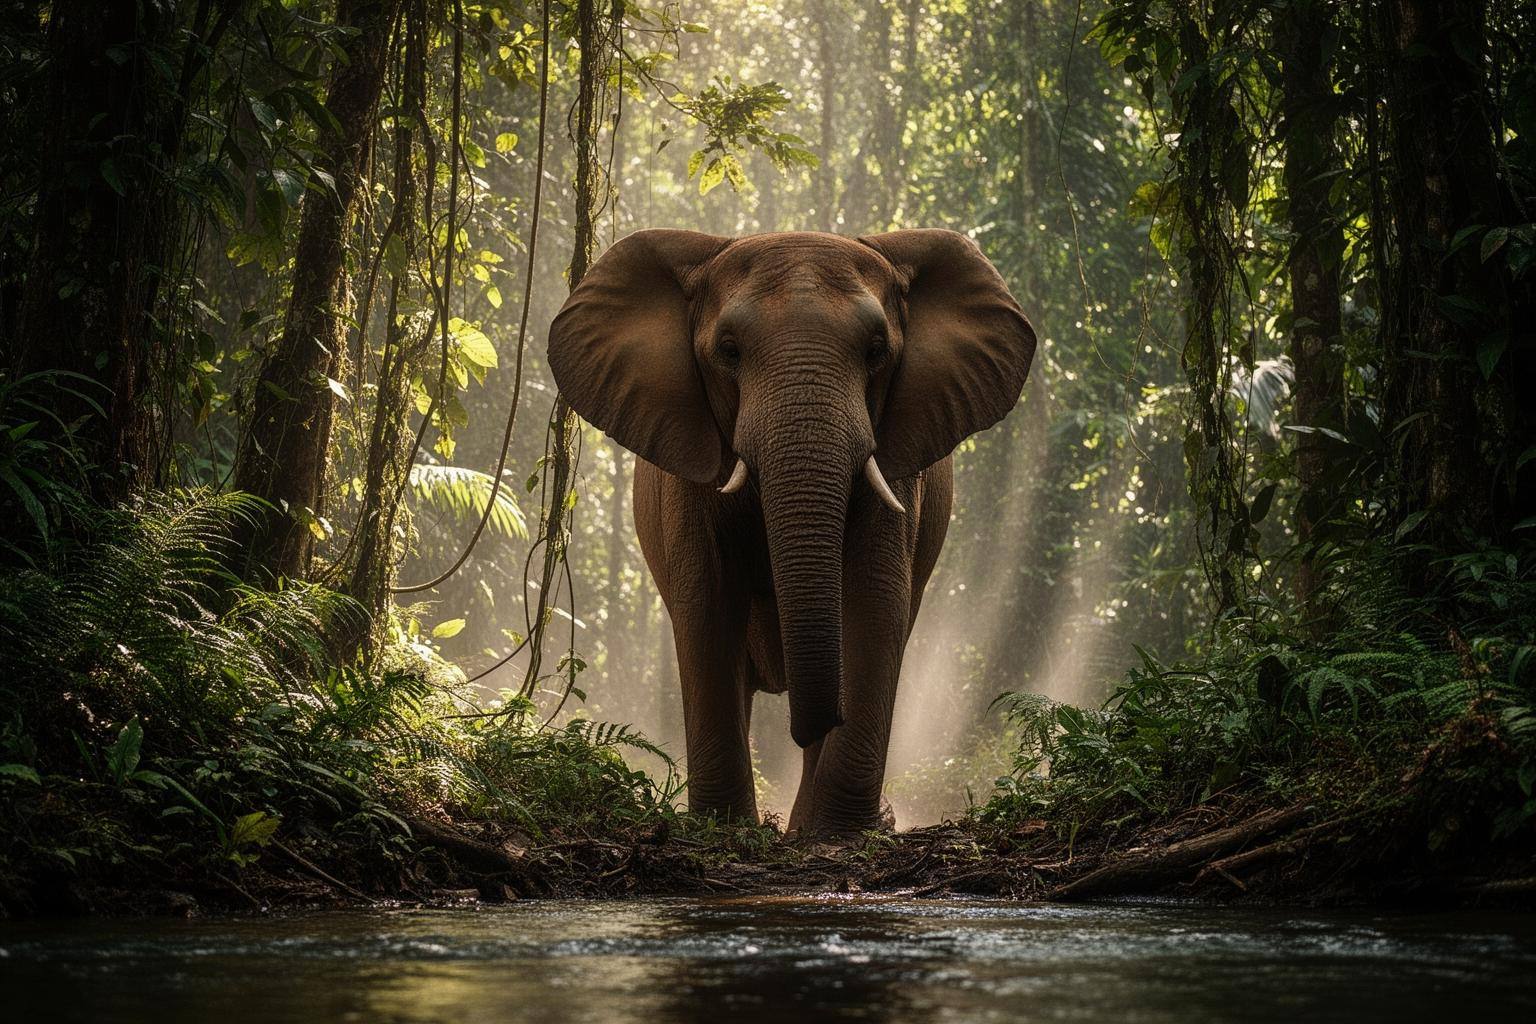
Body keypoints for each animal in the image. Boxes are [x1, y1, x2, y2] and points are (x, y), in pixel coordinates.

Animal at [547, 228, 1036, 835]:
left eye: (877, 350)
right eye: (729, 350)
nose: (812, 724)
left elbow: (875, 603)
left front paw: (836, 835)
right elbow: (707, 603)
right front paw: (725, 829)